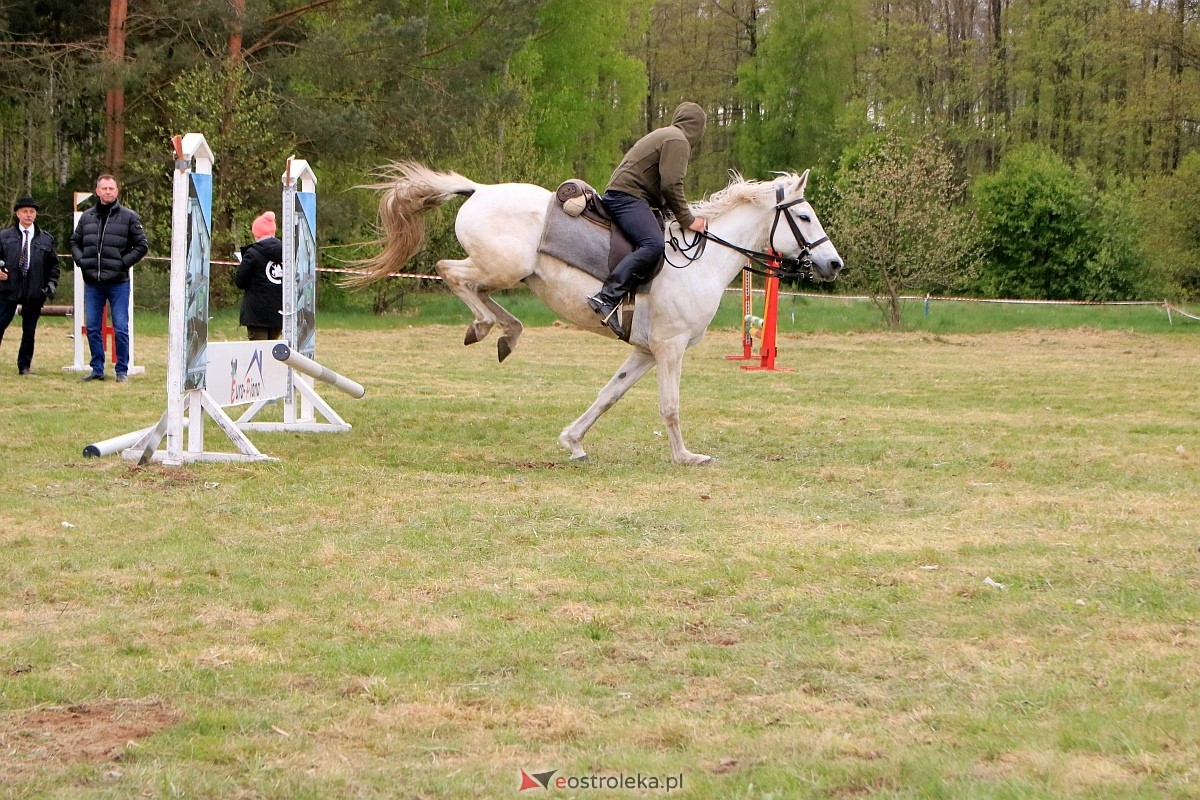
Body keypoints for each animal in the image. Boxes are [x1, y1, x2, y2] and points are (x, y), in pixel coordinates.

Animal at [355, 160, 844, 462]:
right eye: (804, 218)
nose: (833, 264)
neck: (701, 261)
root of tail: (482, 190)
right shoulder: (670, 348)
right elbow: (670, 405)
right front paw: (686, 456)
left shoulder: (646, 352)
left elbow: (609, 394)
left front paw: (573, 442)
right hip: (502, 267)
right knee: (450, 272)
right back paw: (487, 326)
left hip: (507, 272)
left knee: (470, 286)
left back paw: (505, 332)